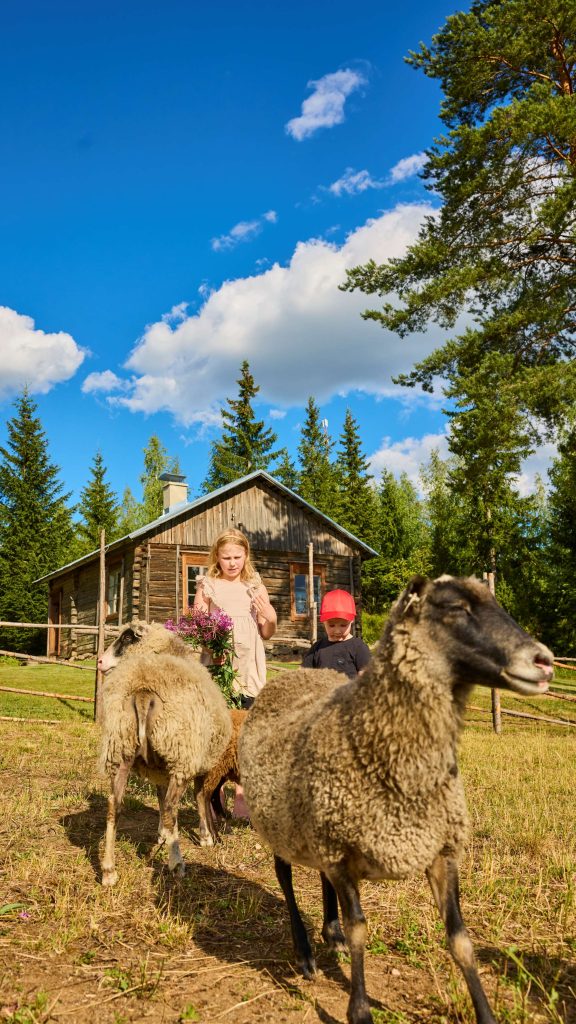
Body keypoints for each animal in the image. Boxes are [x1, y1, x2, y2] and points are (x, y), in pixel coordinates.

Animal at [98, 618, 230, 884]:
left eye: (127, 638)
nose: (99, 661)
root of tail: (142, 688)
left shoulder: (159, 768)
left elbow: (159, 797)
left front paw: (162, 835)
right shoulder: (197, 761)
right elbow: (199, 797)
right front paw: (205, 837)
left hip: (121, 746)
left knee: (113, 805)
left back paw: (108, 871)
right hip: (180, 753)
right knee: (171, 808)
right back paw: (176, 863)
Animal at [237, 577, 553, 1024]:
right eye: (455, 607)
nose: (544, 661)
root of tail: (288, 680)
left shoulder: (440, 851)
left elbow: (461, 940)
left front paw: (486, 1013)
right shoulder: (342, 854)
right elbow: (359, 930)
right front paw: (359, 1010)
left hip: (318, 829)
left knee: (319, 879)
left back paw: (329, 933)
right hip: (279, 823)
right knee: (284, 878)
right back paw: (305, 954)